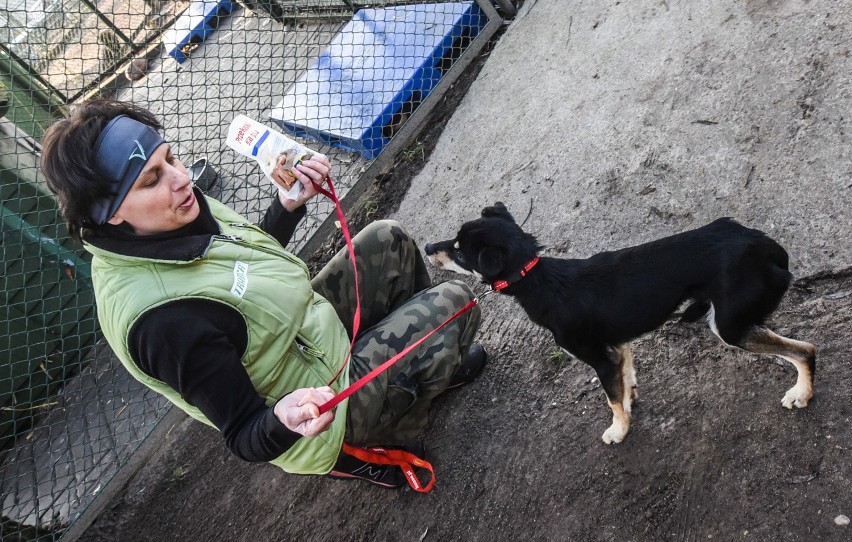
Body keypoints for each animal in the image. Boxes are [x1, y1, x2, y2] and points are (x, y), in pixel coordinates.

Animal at [430, 204, 816, 446]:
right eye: (453, 241)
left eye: (460, 251)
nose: (429, 246)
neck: (541, 280)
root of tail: (765, 246)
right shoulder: (618, 346)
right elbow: (625, 381)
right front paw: (630, 404)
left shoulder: (601, 359)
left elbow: (610, 399)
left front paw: (619, 429)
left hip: (730, 327)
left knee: (806, 350)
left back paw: (801, 392)